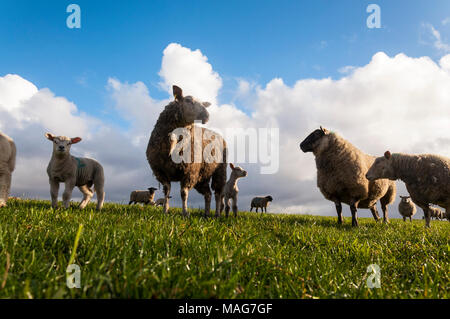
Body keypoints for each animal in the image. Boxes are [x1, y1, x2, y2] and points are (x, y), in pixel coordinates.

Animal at [146, 85, 227, 218]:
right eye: (188, 100)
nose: (207, 115)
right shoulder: (161, 172)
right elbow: (166, 192)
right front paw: (165, 211)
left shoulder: (189, 172)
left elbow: (183, 193)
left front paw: (185, 213)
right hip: (201, 175)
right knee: (208, 194)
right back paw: (206, 213)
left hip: (219, 171)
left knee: (218, 194)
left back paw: (216, 214)